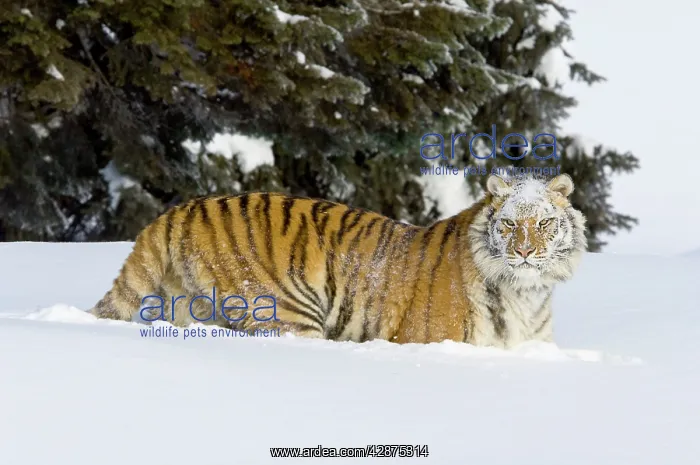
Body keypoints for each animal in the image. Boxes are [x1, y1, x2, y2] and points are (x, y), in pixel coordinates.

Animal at [89, 173, 587, 349]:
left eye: (544, 223)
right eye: (510, 224)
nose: (525, 251)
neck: (527, 293)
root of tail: (186, 207)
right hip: (288, 312)